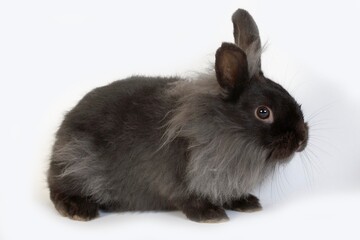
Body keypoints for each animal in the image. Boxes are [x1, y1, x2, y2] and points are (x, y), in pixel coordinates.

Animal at [46, 9, 308, 223]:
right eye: (263, 112)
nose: (302, 140)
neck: (222, 130)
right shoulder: (179, 182)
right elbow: (188, 200)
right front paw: (211, 215)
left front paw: (247, 203)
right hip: (77, 160)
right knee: (58, 189)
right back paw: (79, 210)